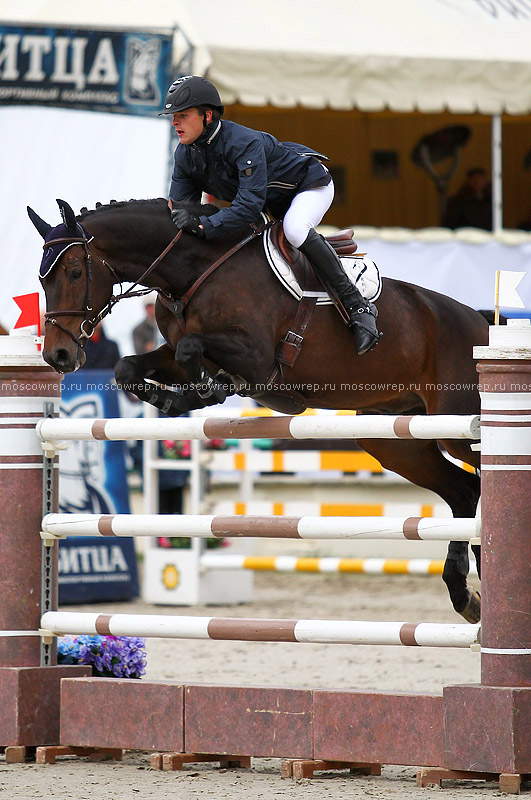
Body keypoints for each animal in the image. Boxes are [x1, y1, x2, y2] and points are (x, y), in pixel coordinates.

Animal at [27, 197, 488, 620]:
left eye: (74, 272)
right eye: (42, 281)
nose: (58, 355)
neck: (192, 270)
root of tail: (482, 322)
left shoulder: (255, 356)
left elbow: (195, 350)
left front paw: (206, 392)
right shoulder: (173, 352)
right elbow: (129, 366)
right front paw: (174, 399)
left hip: (458, 428)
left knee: (476, 480)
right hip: (394, 441)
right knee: (464, 491)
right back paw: (466, 595)